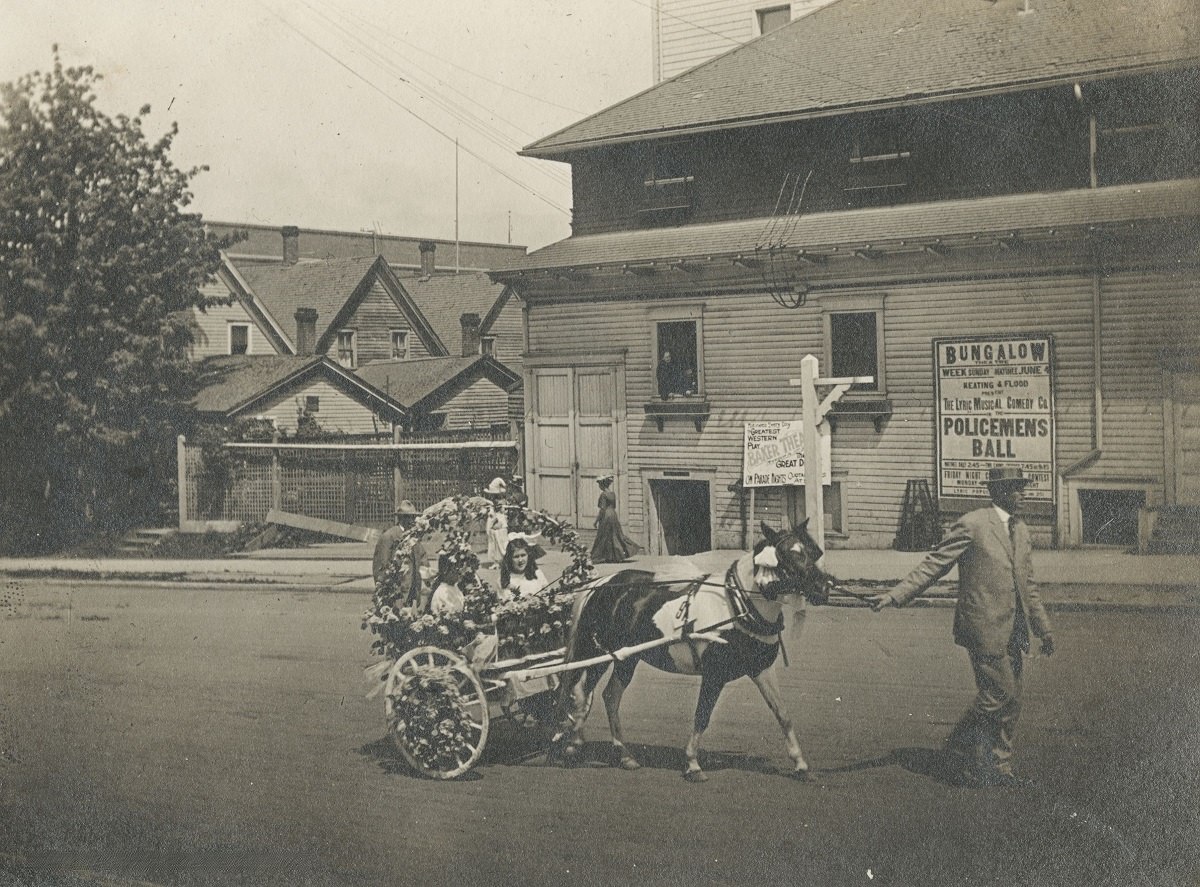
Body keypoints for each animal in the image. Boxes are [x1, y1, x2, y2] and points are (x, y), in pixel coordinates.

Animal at [549, 520, 835, 782]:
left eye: (814, 552)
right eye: (788, 554)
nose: (824, 587)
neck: (737, 606)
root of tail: (603, 582)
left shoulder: (761, 669)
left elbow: (782, 714)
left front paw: (800, 764)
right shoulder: (714, 675)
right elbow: (701, 716)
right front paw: (693, 764)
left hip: (626, 658)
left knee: (609, 696)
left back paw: (624, 754)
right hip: (597, 654)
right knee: (581, 693)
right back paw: (573, 745)